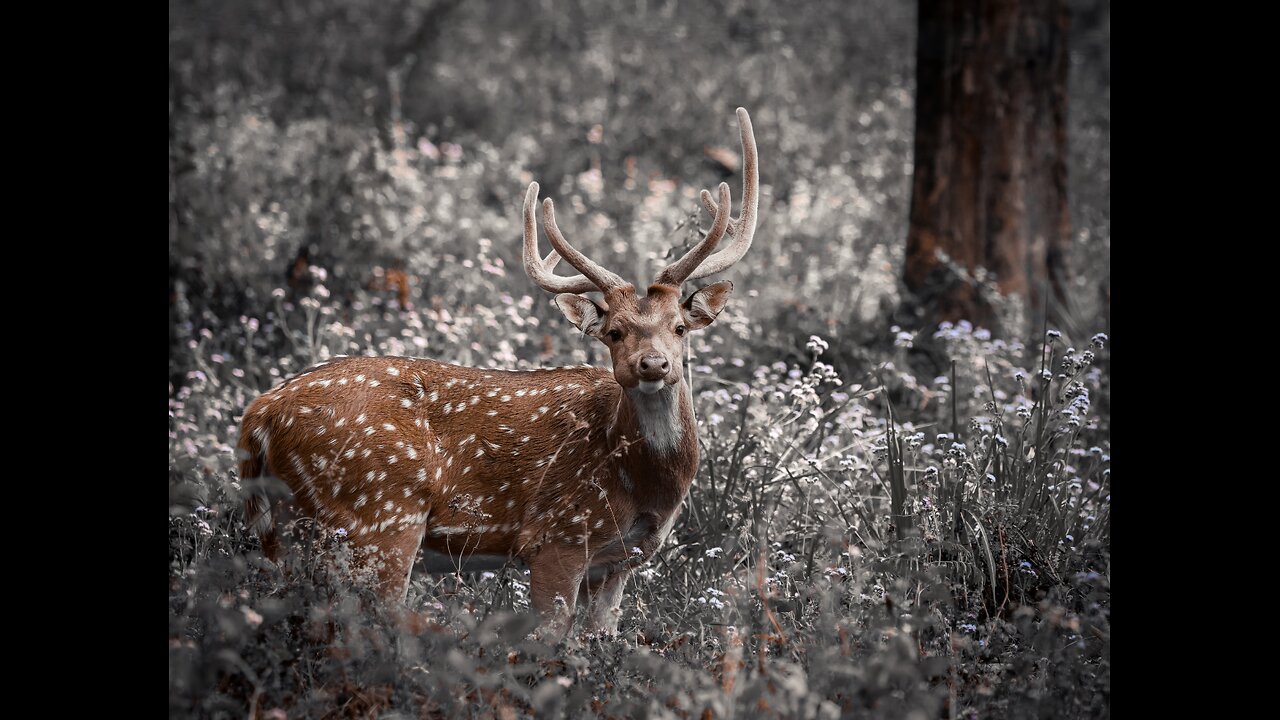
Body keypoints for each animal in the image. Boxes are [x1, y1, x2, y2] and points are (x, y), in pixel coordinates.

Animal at [238, 106, 757, 632]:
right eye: (613, 331)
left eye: (679, 327)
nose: (652, 363)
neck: (643, 486)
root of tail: (259, 414)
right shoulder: (558, 536)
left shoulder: (620, 561)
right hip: (379, 514)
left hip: (289, 527)